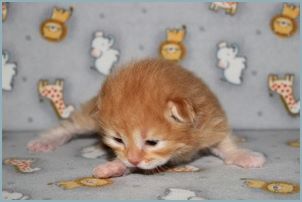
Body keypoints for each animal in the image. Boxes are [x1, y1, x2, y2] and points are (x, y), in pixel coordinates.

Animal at [27, 58, 264, 178]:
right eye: (118, 140)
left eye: (152, 142)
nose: (133, 159)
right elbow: (131, 162)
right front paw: (114, 167)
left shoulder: (211, 123)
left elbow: (225, 143)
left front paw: (243, 155)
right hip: (91, 116)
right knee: (70, 126)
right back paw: (45, 141)